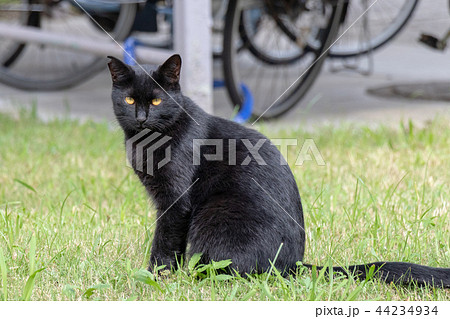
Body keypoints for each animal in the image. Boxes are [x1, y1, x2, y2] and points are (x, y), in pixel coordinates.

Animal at [106, 53, 450, 288]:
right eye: (129, 99)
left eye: (156, 100)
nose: (141, 117)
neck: (146, 143)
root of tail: (293, 265)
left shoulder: (176, 201)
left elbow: (164, 240)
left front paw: (156, 275)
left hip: (215, 214)